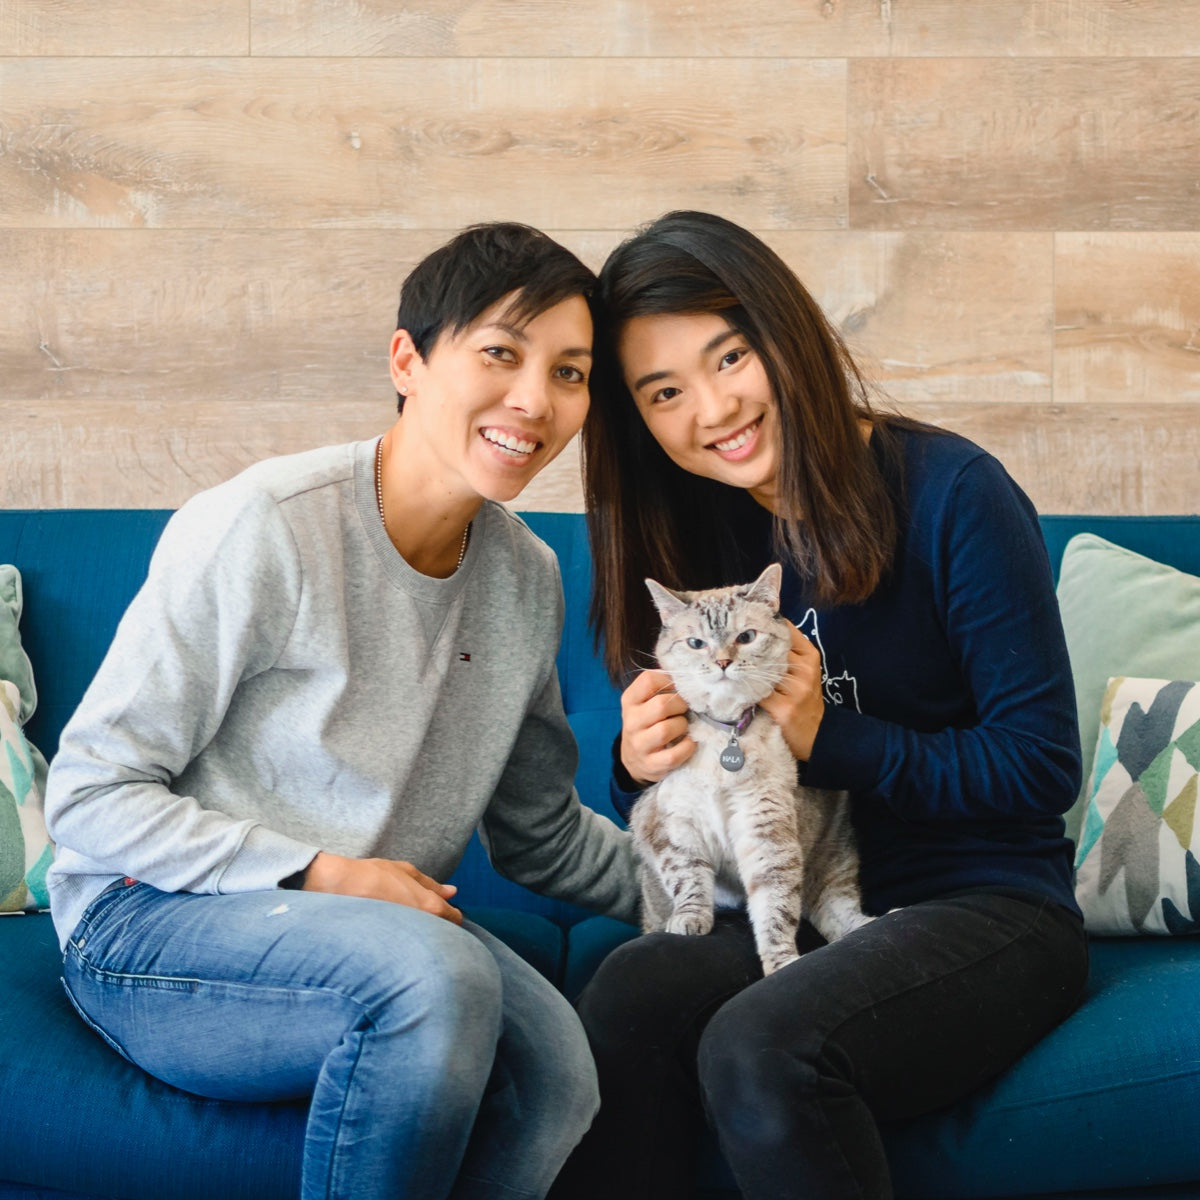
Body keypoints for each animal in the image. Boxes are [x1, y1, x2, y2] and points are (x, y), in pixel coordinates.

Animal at [628, 564, 873, 974]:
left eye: (745, 637)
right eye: (696, 643)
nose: (723, 662)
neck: (725, 738)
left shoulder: (766, 828)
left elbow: (775, 909)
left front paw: (783, 963)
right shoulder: (675, 824)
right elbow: (688, 877)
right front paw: (690, 919)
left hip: (833, 857)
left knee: (835, 911)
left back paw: (878, 922)